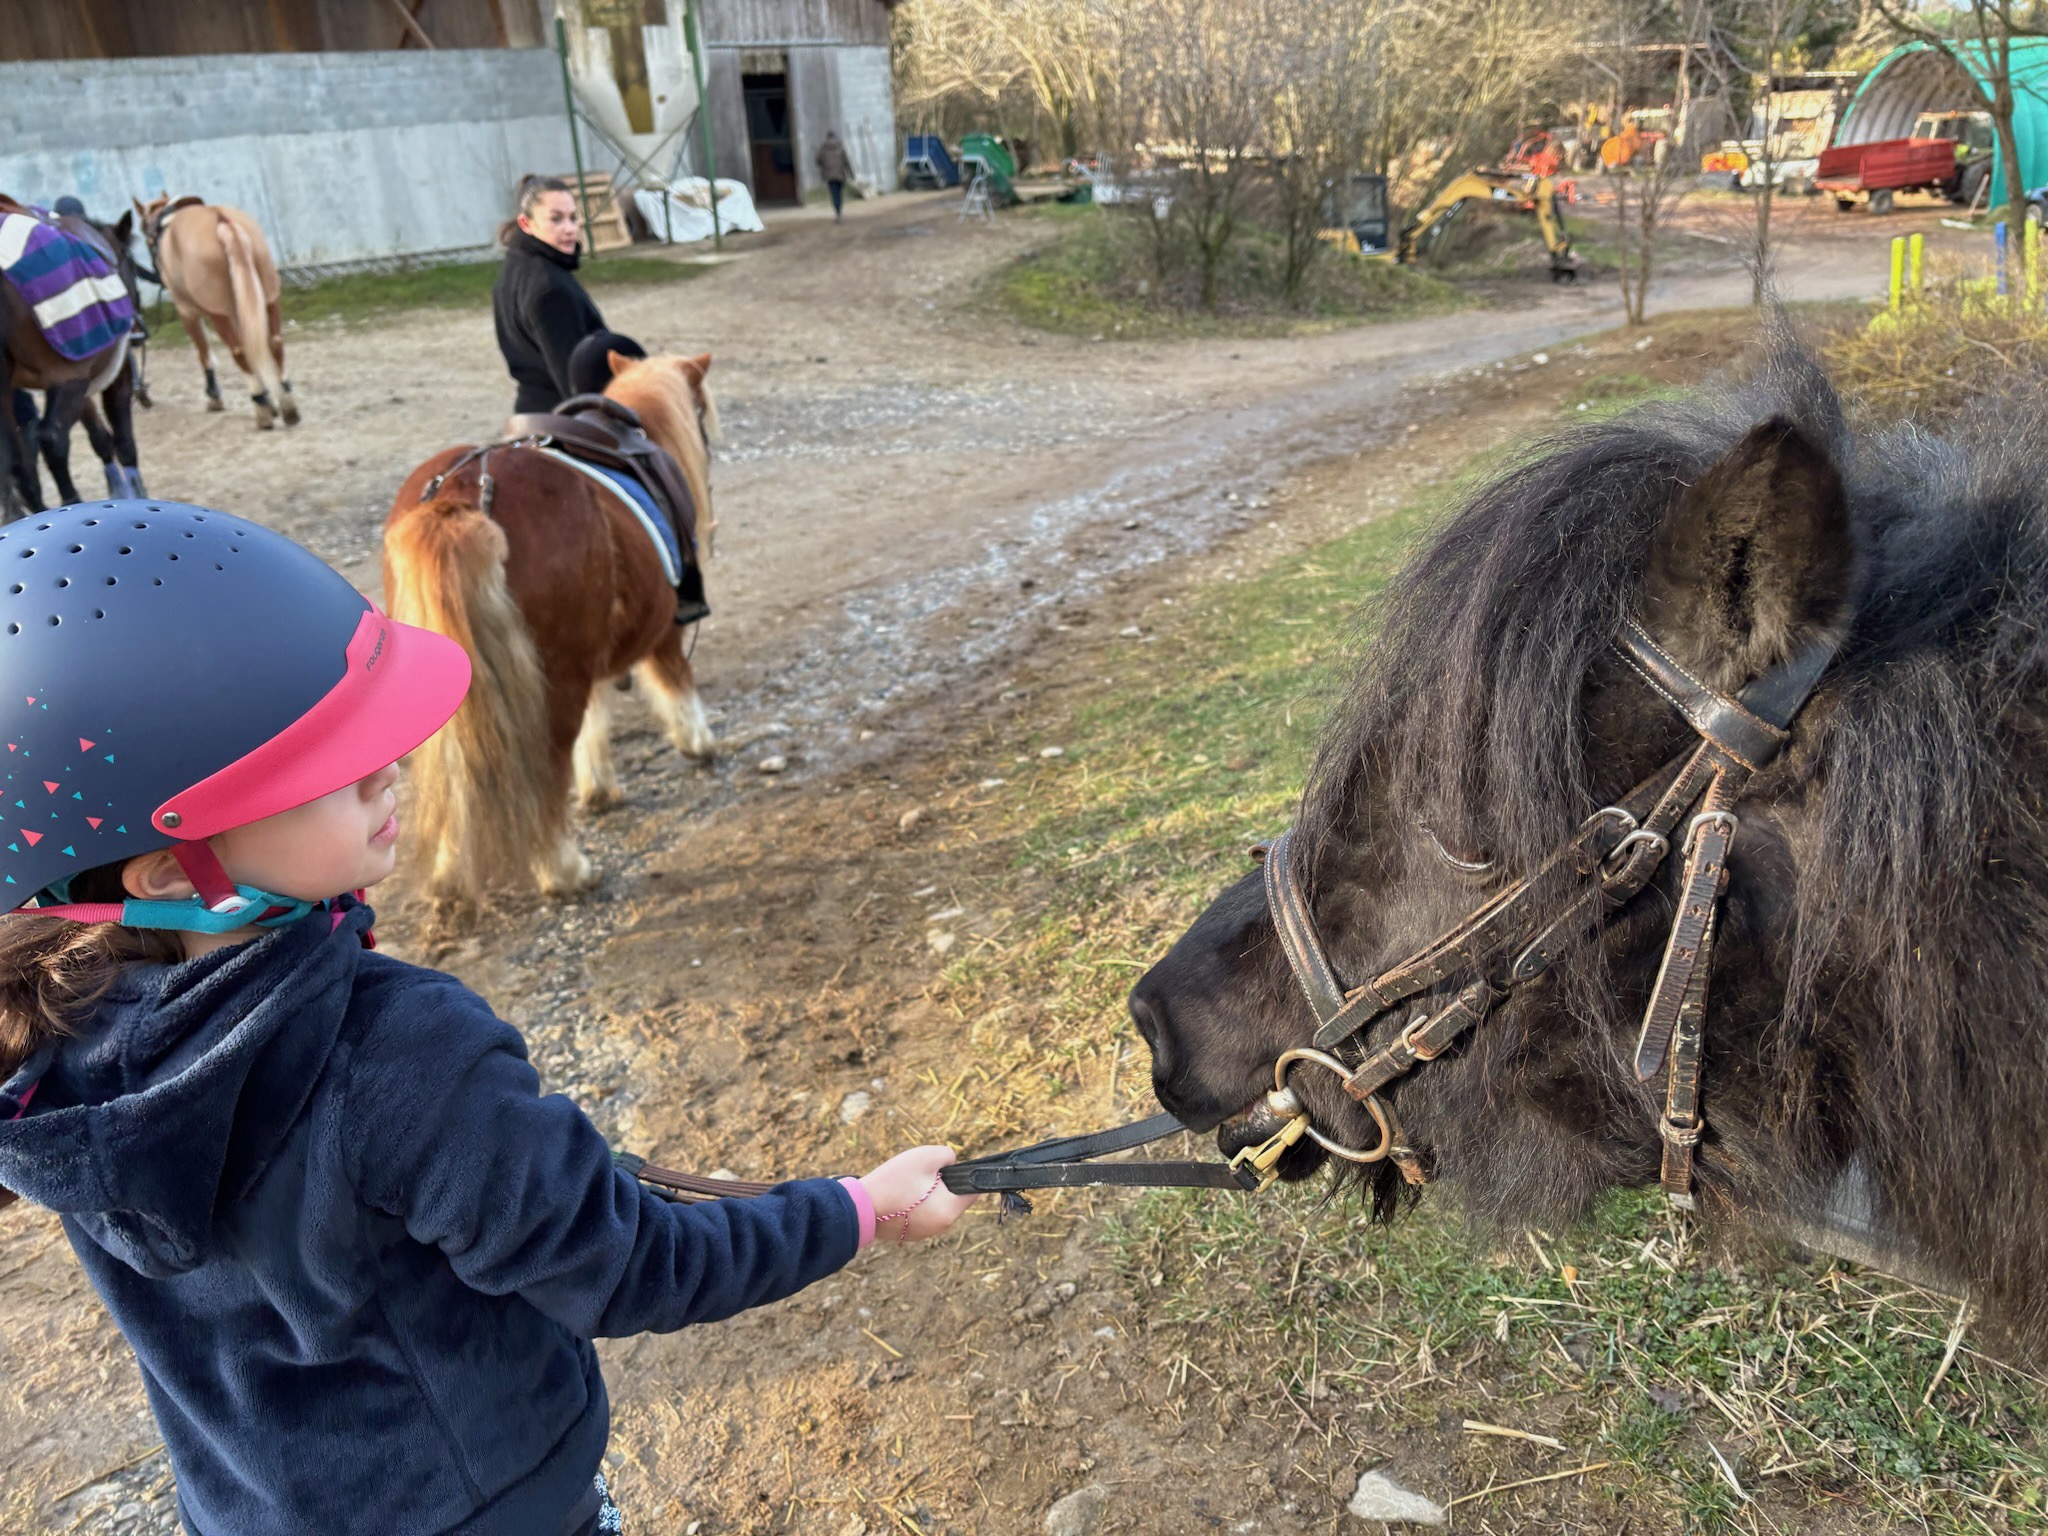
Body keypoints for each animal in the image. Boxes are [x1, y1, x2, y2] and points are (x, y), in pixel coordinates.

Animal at [135, 195, 296, 434]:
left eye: (143, 227)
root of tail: (222, 222)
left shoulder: (187, 312)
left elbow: (204, 354)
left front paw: (214, 397)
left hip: (218, 314)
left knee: (239, 351)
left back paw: (262, 409)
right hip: (268, 297)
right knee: (273, 342)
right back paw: (286, 403)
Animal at [385, 352, 720, 901]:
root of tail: (460, 495)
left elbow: (596, 719)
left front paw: (600, 786)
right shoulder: (660, 633)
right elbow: (675, 684)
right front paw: (699, 742)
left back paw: (450, 871)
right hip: (557, 679)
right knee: (547, 768)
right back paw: (564, 870)